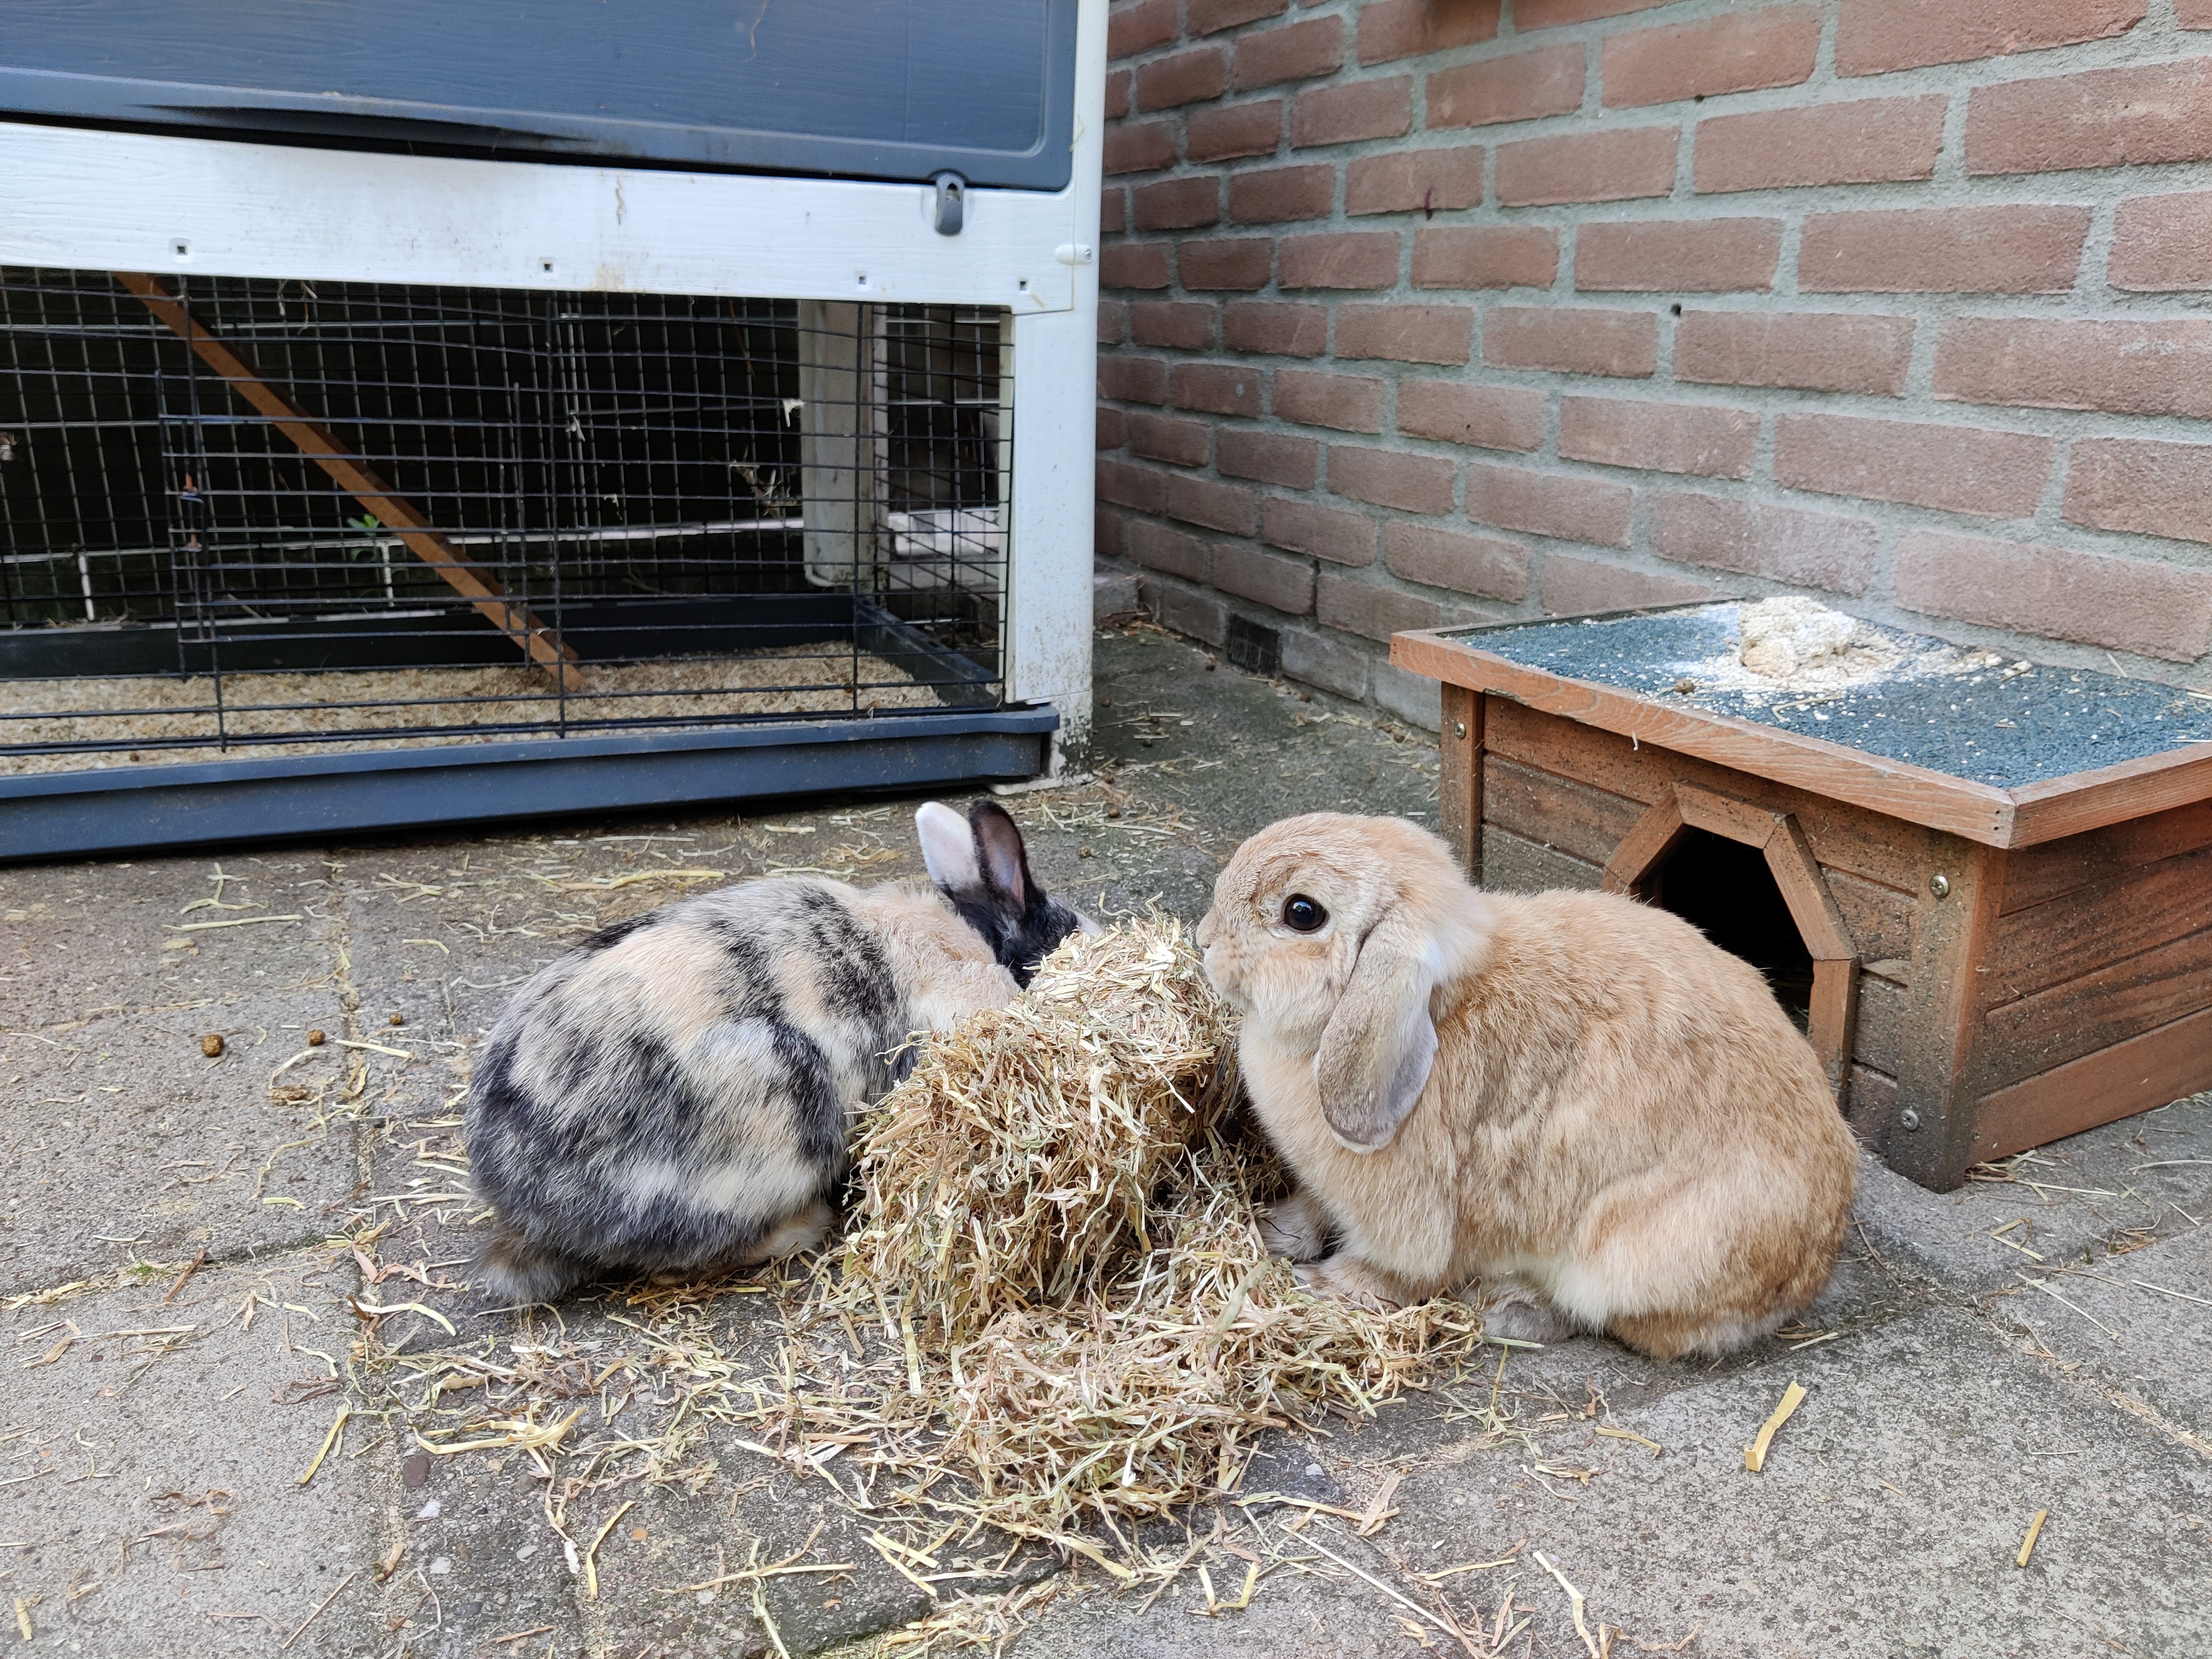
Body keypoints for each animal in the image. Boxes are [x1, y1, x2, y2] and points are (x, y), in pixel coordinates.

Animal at [1195, 812, 1858, 1361]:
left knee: (1611, 1320)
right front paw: (1270, 1231)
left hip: (1638, 1254)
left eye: (1301, 913)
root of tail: (1811, 1268)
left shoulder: (1409, 1224)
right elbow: (1309, 1208)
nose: (1204, 940)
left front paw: (1318, 1284)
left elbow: (1394, 1273)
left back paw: (1506, 1310)